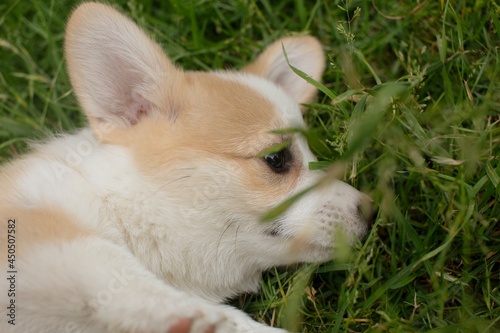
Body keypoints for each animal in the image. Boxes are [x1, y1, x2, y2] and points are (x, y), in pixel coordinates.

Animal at [0, 3, 372, 332]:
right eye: (277, 159)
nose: (370, 210)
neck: (119, 210)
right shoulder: (43, 233)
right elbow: (114, 268)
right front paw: (200, 320)